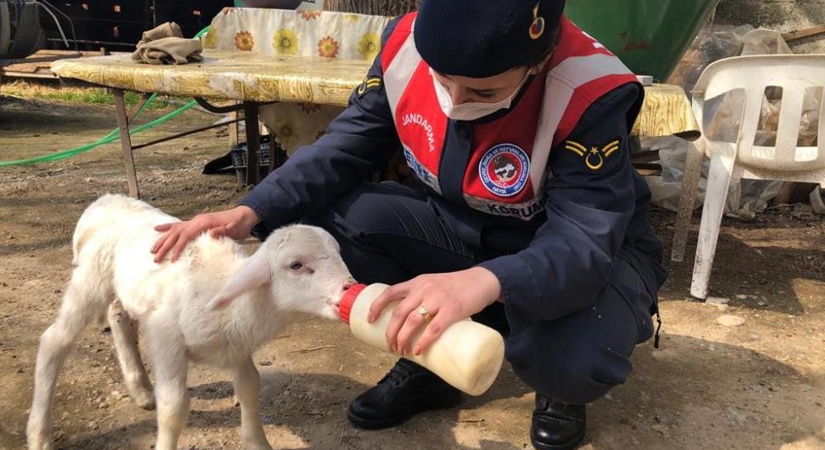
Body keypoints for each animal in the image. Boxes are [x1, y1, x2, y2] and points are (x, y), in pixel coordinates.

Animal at [25, 194, 354, 450]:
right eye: (296, 265)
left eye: (339, 253)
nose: (349, 289)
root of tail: (103, 202)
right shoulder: (165, 339)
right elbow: (174, 407)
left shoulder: (236, 345)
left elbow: (250, 386)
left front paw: (258, 442)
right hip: (90, 280)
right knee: (54, 341)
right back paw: (39, 434)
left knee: (119, 320)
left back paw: (140, 389)